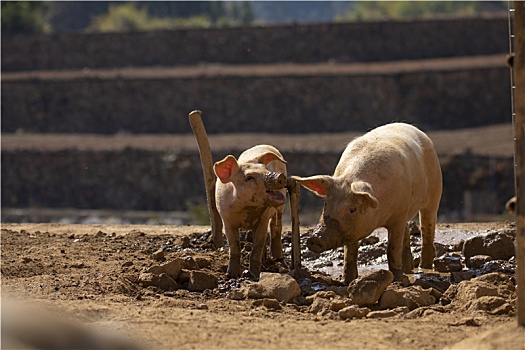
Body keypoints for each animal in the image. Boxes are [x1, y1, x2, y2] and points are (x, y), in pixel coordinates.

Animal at [213, 144, 286, 278]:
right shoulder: (226, 220)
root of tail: (266, 145)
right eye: (249, 177)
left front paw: (254, 276)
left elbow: (257, 247)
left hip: (280, 207)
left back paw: (279, 259)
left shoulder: (263, 219)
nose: (279, 176)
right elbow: (234, 247)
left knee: (276, 226)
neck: (248, 208)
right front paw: (230, 275)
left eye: (266, 169)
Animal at [292, 123, 440, 284]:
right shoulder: (354, 228)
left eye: (352, 209)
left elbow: (392, 249)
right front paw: (347, 281)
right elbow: (350, 251)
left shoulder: (398, 216)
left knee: (427, 227)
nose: (315, 238)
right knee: (406, 233)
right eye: (326, 204)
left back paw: (425, 268)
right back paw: (409, 270)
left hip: (434, 192)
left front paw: (397, 280)